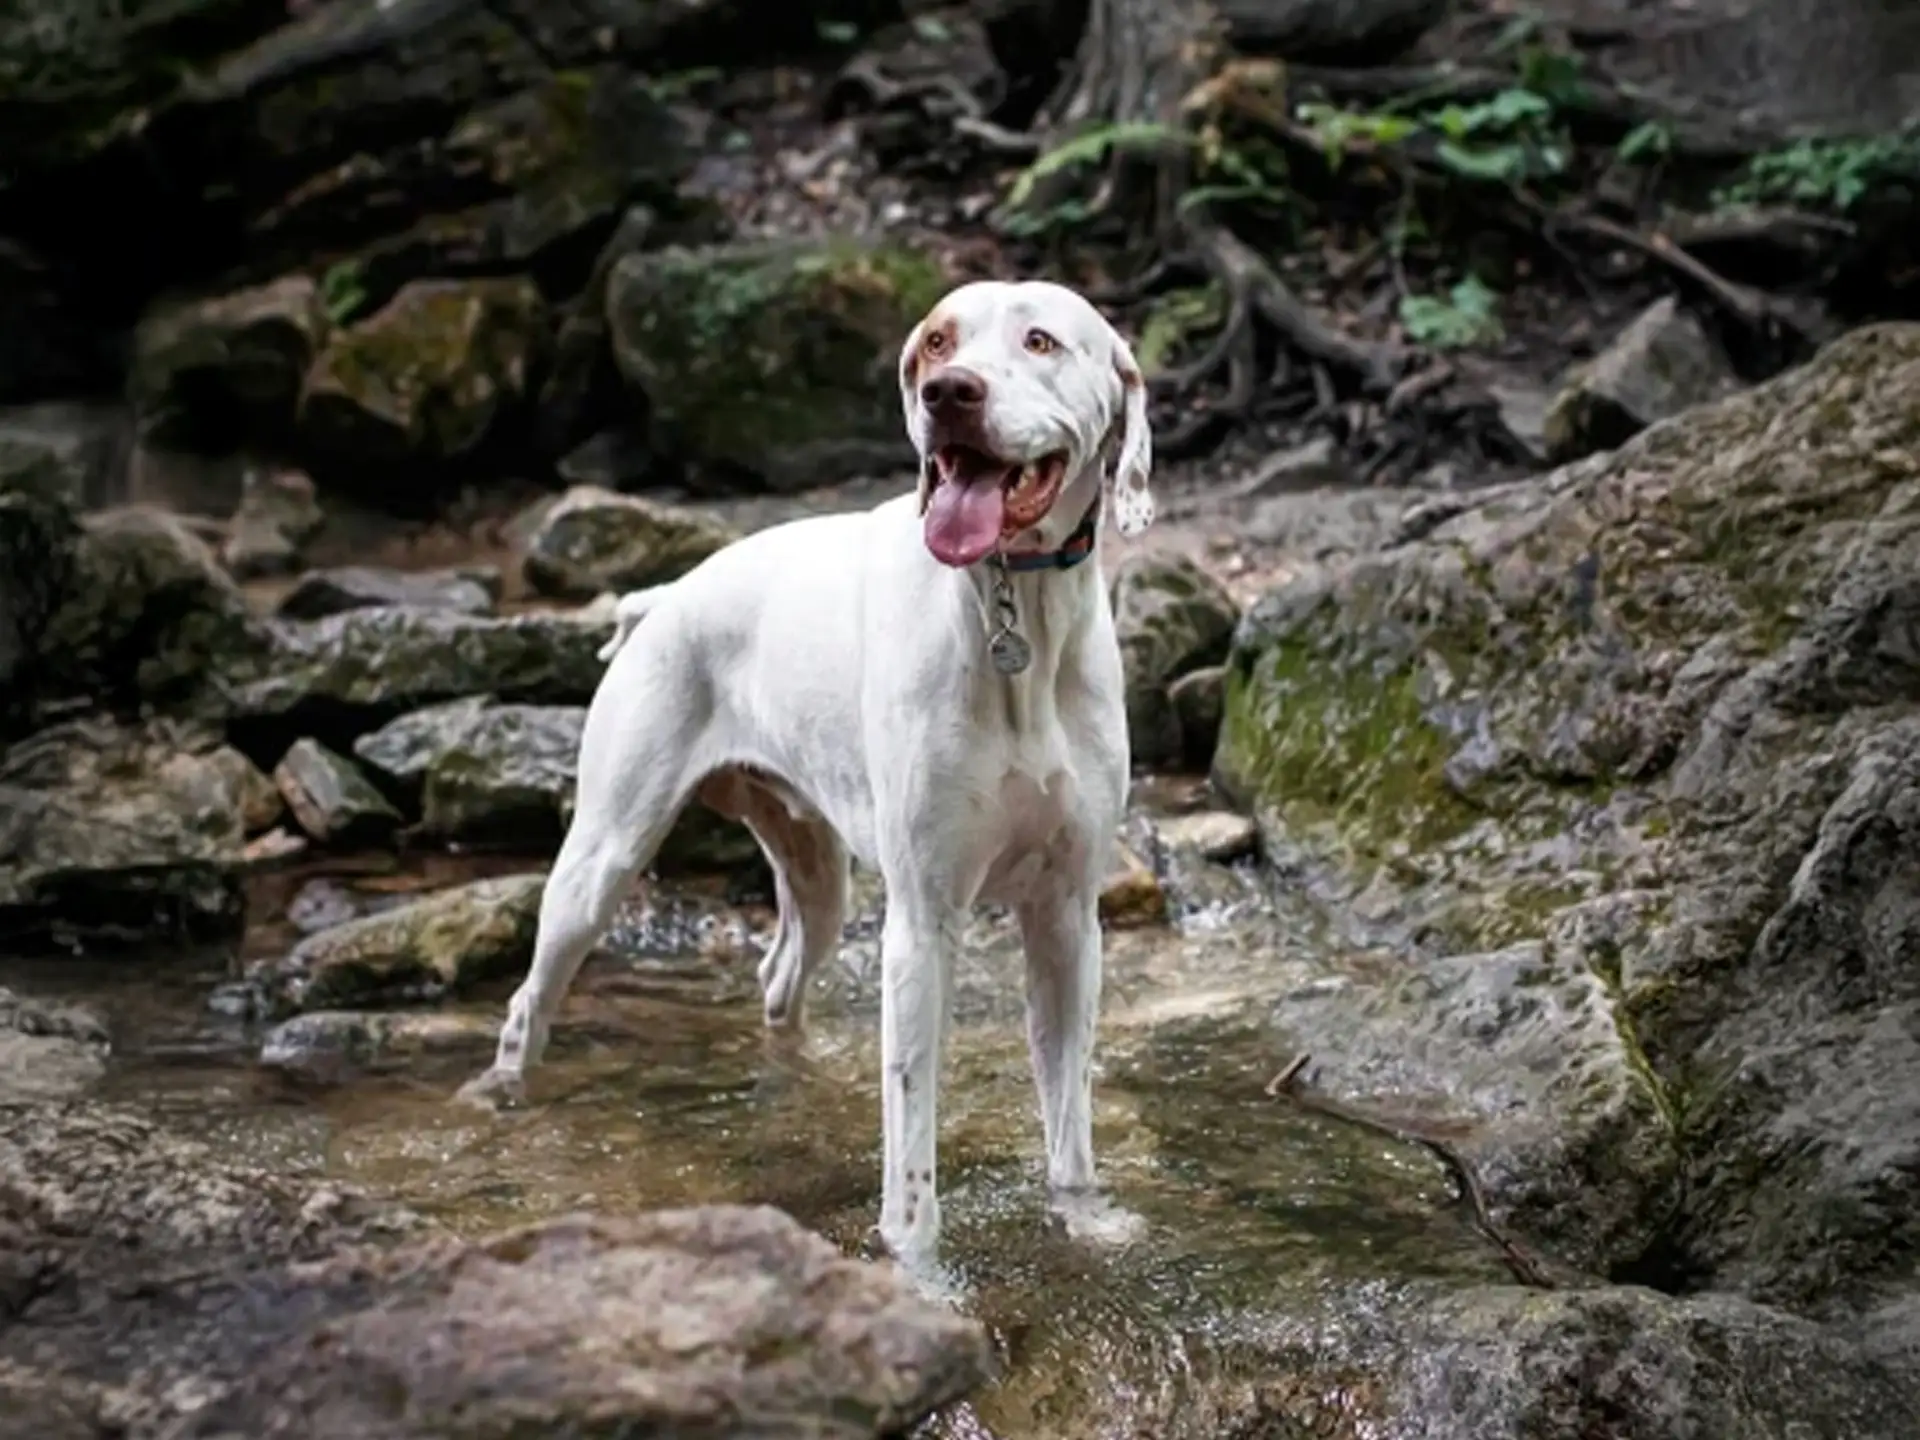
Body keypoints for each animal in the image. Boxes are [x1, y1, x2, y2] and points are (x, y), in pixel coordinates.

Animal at [460, 278, 1152, 1259]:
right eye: (936, 343)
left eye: (1041, 341)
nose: (949, 394)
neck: (1013, 610)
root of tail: (662, 597)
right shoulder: (921, 928)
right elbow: (911, 1149)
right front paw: (916, 1267)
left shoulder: (1065, 918)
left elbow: (1070, 1121)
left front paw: (1085, 1222)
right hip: (600, 862)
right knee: (531, 1000)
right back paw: (507, 1094)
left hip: (817, 878)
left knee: (780, 977)